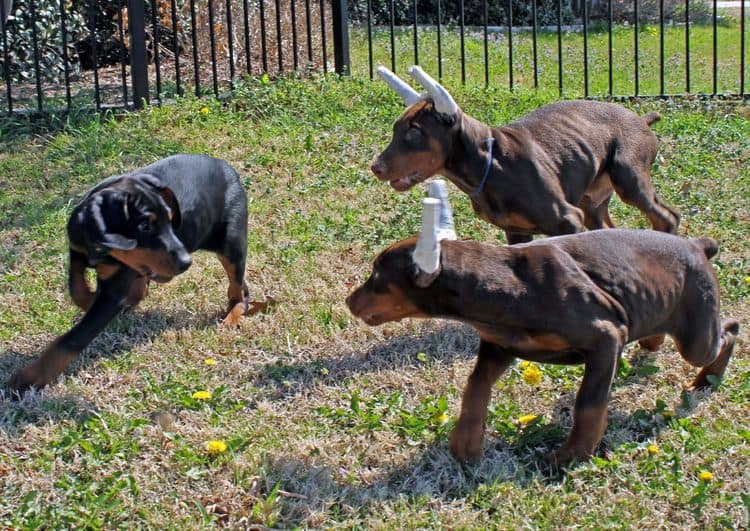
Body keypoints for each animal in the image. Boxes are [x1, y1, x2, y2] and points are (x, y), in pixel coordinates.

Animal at [8, 154, 250, 394]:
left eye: (171, 218)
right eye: (144, 226)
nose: (185, 263)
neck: (103, 248)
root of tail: (229, 170)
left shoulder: (114, 288)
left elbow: (73, 339)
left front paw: (29, 378)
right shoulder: (77, 249)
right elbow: (76, 287)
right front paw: (89, 300)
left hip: (231, 245)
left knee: (237, 289)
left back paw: (232, 317)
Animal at [346, 208, 740, 466]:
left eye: (377, 276)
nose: (349, 301)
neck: (511, 285)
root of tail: (697, 245)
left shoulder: (606, 339)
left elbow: (588, 404)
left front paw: (570, 456)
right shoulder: (500, 345)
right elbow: (475, 388)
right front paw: (466, 443)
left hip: (696, 337)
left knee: (729, 331)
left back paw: (707, 378)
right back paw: (652, 343)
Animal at [376, 67, 680, 247]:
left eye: (414, 132)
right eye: (395, 129)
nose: (375, 167)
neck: (490, 167)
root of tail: (641, 120)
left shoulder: (568, 220)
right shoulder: (517, 231)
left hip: (628, 177)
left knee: (667, 217)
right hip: (592, 200)